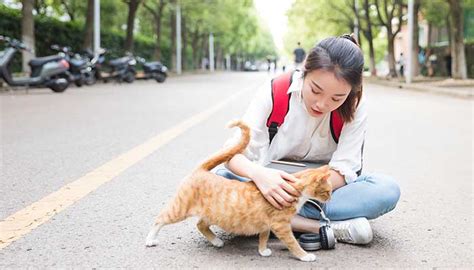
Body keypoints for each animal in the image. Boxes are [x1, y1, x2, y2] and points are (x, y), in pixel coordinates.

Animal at [146, 121, 332, 262]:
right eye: (327, 191)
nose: (330, 198)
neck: (296, 189)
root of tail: (201, 170)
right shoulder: (281, 225)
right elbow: (293, 243)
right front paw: (305, 256)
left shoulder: (267, 224)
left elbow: (264, 237)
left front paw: (262, 251)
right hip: (179, 209)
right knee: (160, 219)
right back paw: (150, 239)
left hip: (213, 214)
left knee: (200, 224)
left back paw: (216, 241)